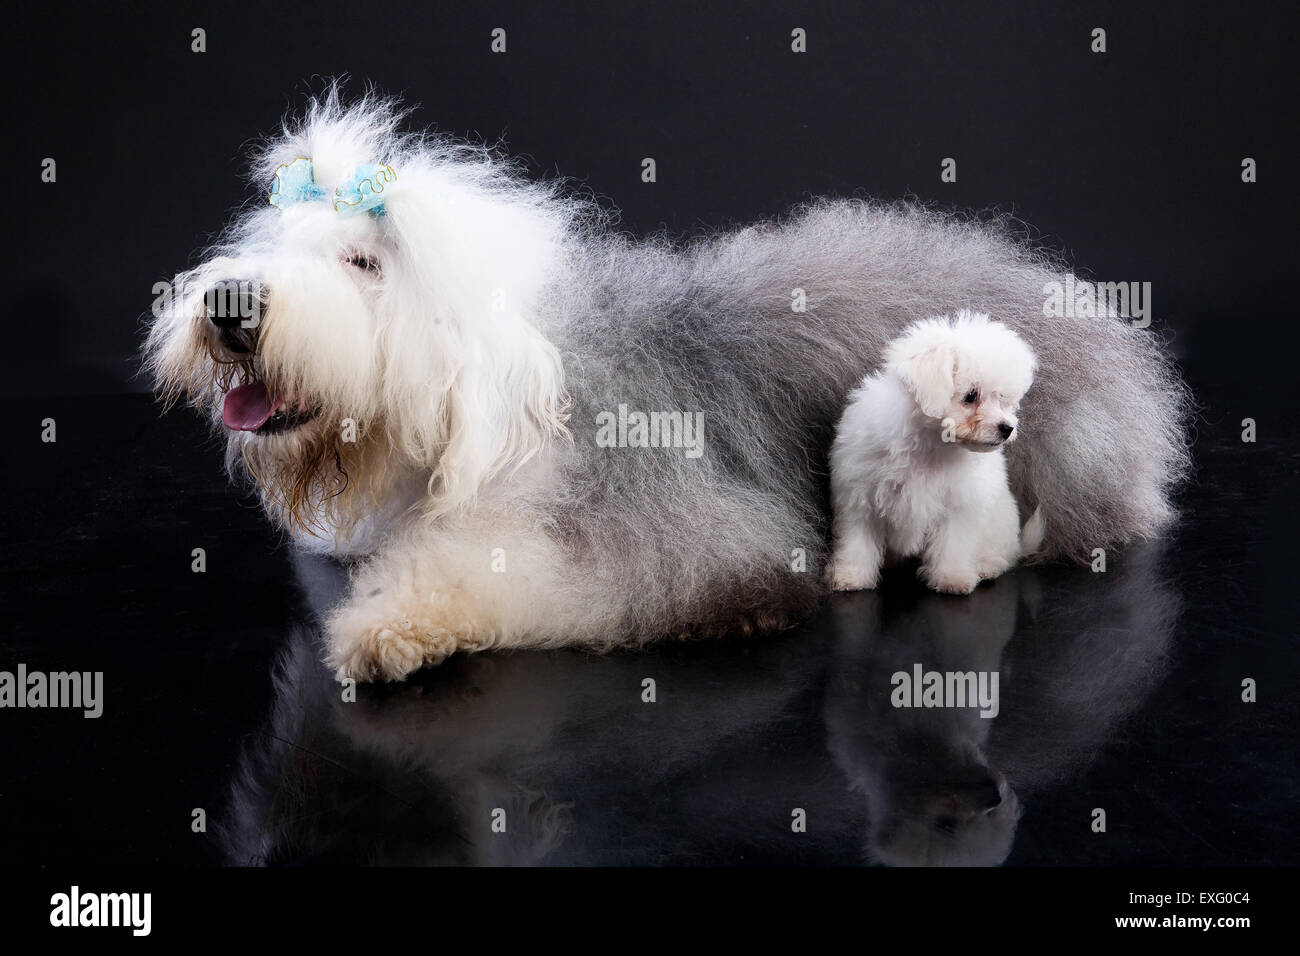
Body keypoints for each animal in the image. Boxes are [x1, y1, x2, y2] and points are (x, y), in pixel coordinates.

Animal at [832, 310, 1045, 595]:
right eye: (970, 396)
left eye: (1001, 398)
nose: (1006, 428)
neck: (931, 442)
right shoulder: (860, 496)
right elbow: (858, 541)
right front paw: (850, 576)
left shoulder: (958, 504)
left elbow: (952, 544)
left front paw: (951, 578)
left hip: (1000, 524)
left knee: (1002, 554)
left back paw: (986, 566)